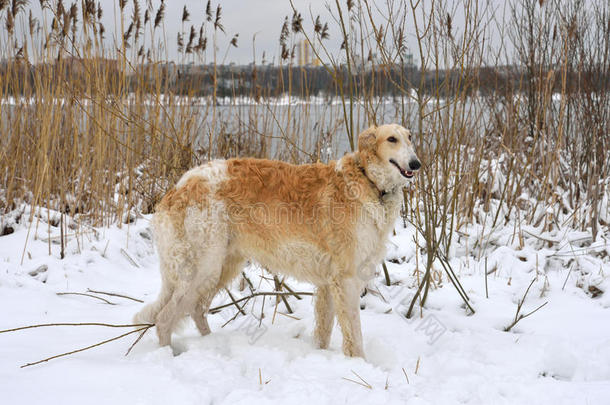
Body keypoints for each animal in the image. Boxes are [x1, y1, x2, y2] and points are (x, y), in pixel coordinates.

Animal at [133, 123, 418, 356]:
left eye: (410, 137)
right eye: (392, 139)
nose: (416, 164)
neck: (368, 181)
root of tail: (179, 186)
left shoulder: (327, 283)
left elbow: (323, 332)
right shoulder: (345, 279)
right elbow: (354, 337)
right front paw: (358, 365)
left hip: (221, 266)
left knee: (196, 310)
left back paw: (210, 343)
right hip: (203, 268)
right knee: (165, 318)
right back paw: (169, 355)